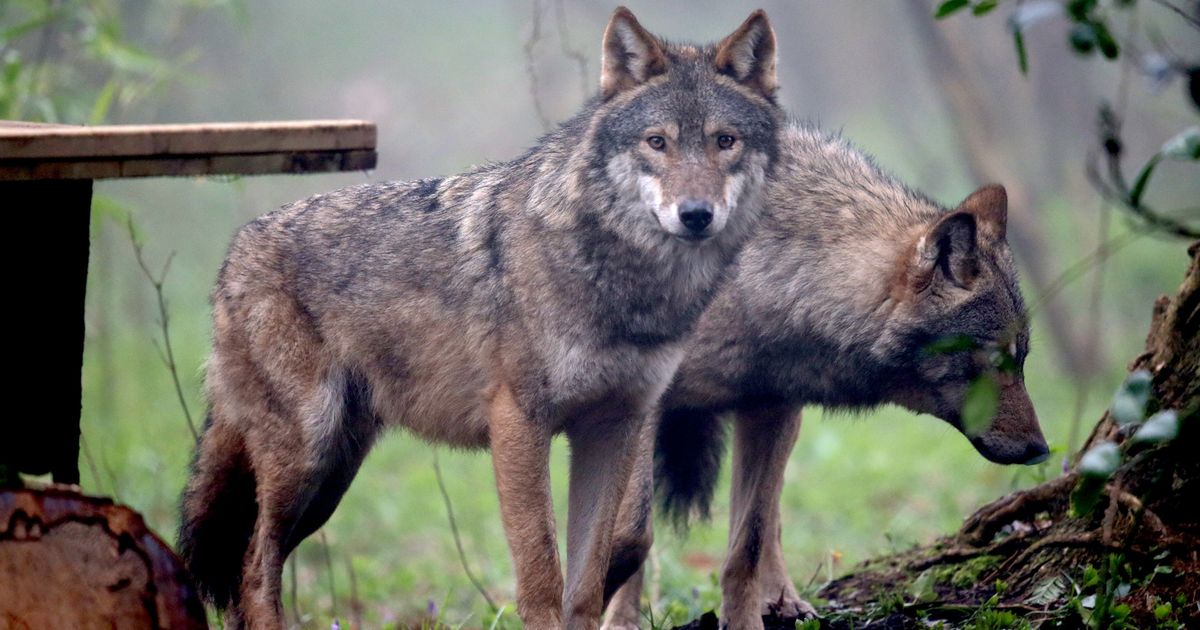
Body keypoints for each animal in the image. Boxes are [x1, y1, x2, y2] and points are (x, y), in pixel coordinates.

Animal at [178, 7, 783, 629]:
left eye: (725, 142)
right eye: (657, 142)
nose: (696, 215)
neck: (625, 287)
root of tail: (235, 252)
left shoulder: (615, 427)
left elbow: (591, 581)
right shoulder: (518, 421)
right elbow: (542, 573)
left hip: (331, 478)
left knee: (246, 568)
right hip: (307, 457)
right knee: (253, 565)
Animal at [599, 124, 1049, 630]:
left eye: (1022, 359)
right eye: (995, 359)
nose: (1041, 451)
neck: (754, 283)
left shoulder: (769, 405)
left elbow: (748, 543)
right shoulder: (641, 406)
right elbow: (630, 536)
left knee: (769, 517)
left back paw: (785, 599)